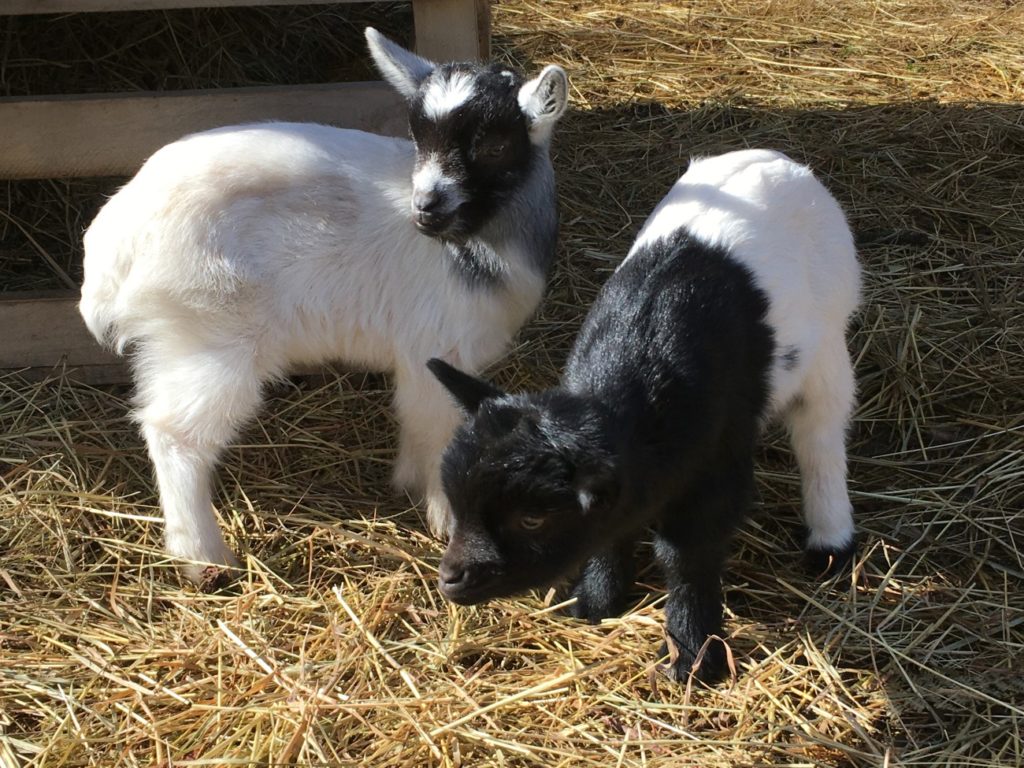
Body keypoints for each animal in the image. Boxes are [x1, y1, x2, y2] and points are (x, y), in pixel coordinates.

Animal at [78, 28, 569, 583]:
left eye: (495, 145)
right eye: (419, 136)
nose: (426, 209)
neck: (480, 242)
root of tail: (113, 246)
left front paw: (406, 483)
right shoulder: (438, 348)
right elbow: (438, 431)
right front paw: (446, 519)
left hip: (174, 338)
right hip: (215, 334)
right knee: (175, 433)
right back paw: (205, 558)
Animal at [426, 149, 861, 683]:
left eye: (533, 518)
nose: (451, 579)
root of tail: (775, 158)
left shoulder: (719, 462)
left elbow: (687, 555)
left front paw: (694, 655)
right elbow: (613, 531)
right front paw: (596, 603)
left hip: (829, 340)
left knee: (822, 437)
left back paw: (830, 544)